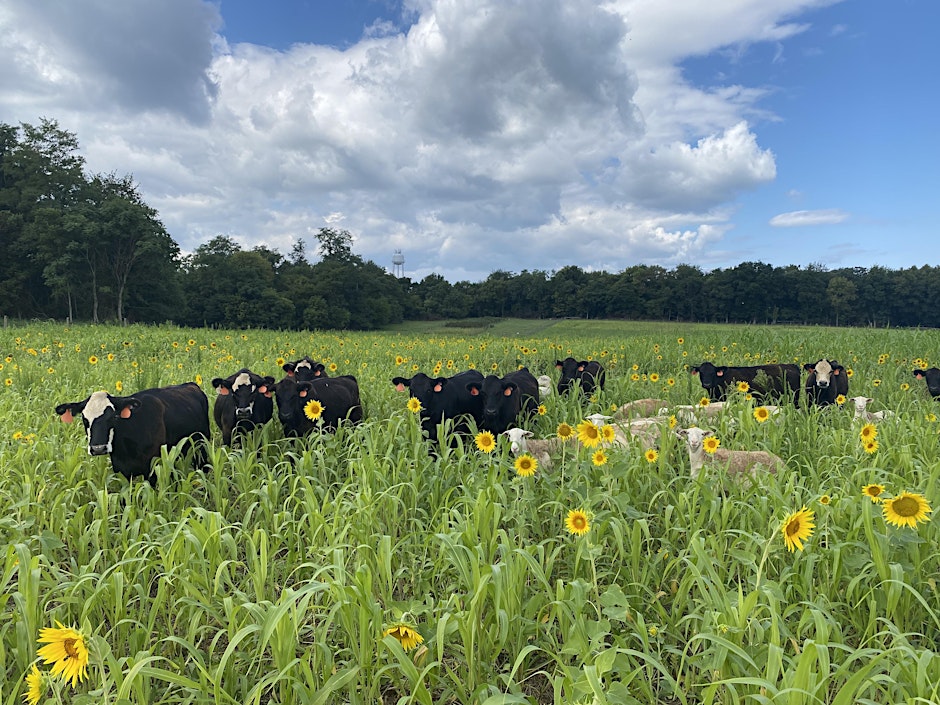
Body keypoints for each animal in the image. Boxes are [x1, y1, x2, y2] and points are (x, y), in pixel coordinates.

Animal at [54, 382, 210, 485]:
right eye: (84, 419)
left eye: (113, 417)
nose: (98, 448)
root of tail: (191, 385)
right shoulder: (121, 471)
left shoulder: (152, 469)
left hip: (201, 446)